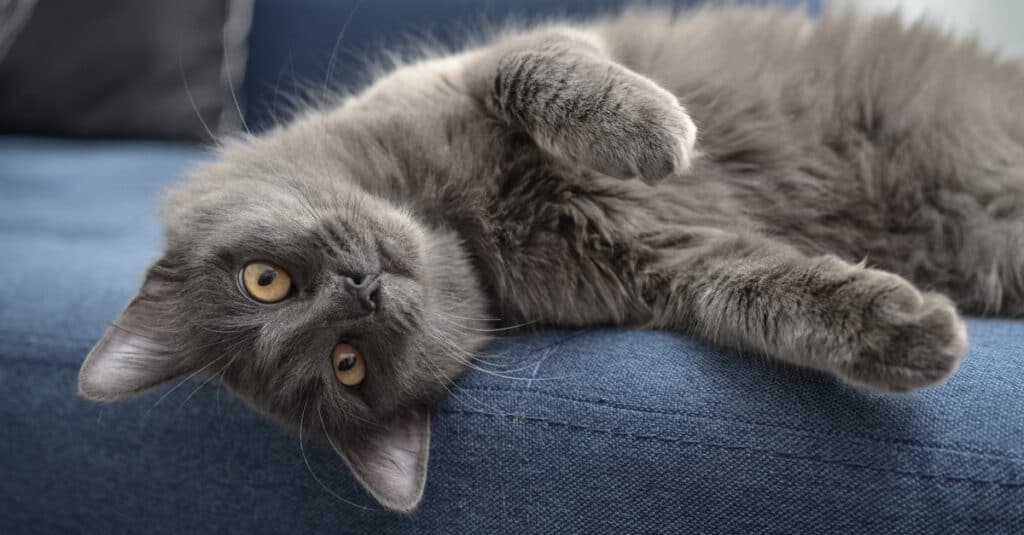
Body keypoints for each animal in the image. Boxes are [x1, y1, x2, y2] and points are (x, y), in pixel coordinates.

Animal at [74, 5, 1024, 512]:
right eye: (347, 364)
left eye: (264, 282)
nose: (362, 291)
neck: (469, 218)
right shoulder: (661, 267)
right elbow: (766, 295)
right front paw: (913, 333)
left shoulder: (484, 65)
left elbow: (534, 71)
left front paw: (654, 131)